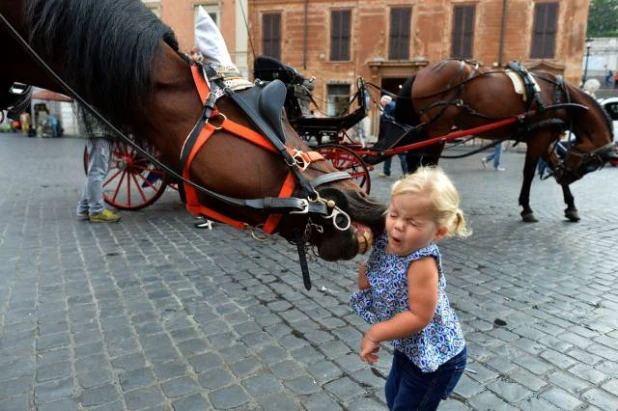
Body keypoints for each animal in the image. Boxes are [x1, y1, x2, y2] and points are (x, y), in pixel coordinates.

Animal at [398, 58, 612, 222]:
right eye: (591, 165)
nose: (566, 177)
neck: (561, 97)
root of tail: (420, 73)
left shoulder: (544, 138)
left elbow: (554, 163)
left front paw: (571, 206)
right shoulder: (539, 138)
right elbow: (528, 173)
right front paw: (527, 209)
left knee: (414, 160)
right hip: (438, 129)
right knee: (427, 163)